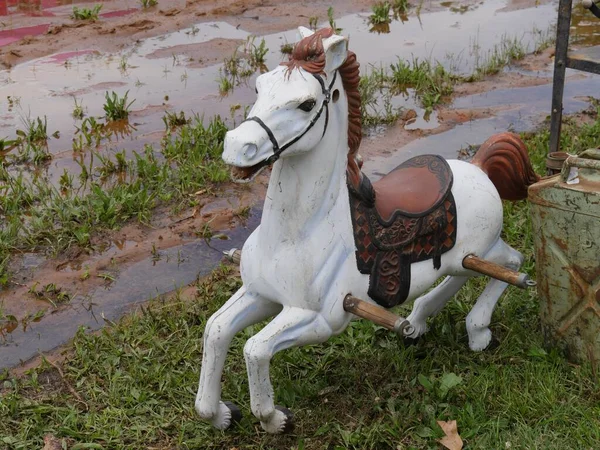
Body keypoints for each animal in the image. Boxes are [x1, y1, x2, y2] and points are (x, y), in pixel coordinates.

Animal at [197, 27, 540, 432]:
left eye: (306, 104)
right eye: (259, 86)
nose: (237, 146)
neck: (294, 234)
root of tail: (479, 165)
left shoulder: (321, 319)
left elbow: (255, 349)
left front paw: (275, 418)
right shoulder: (260, 293)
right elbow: (216, 330)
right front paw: (219, 413)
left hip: (484, 248)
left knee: (512, 264)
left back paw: (477, 331)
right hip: (461, 255)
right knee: (461, 275)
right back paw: (416, 321)